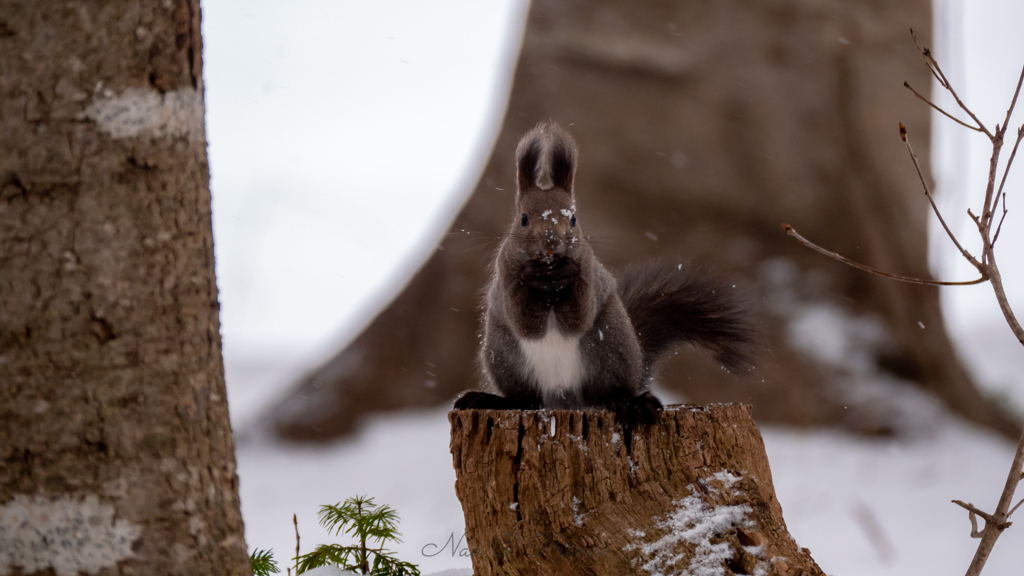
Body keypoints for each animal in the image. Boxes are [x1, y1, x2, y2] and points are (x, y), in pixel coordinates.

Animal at [452, 120, 749, 426]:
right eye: (523, 219)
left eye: (573, 218)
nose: (551, 242)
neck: (549, 278)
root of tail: (565, 400)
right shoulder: (506, 276)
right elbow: (524, 320)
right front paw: (533, 276)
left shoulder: (589, 274)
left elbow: (579, 316)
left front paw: (565, 273)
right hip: (505, 357)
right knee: (525, 400)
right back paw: (490, 400)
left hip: (609, 348)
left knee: (610, 393)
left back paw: (632, 404)